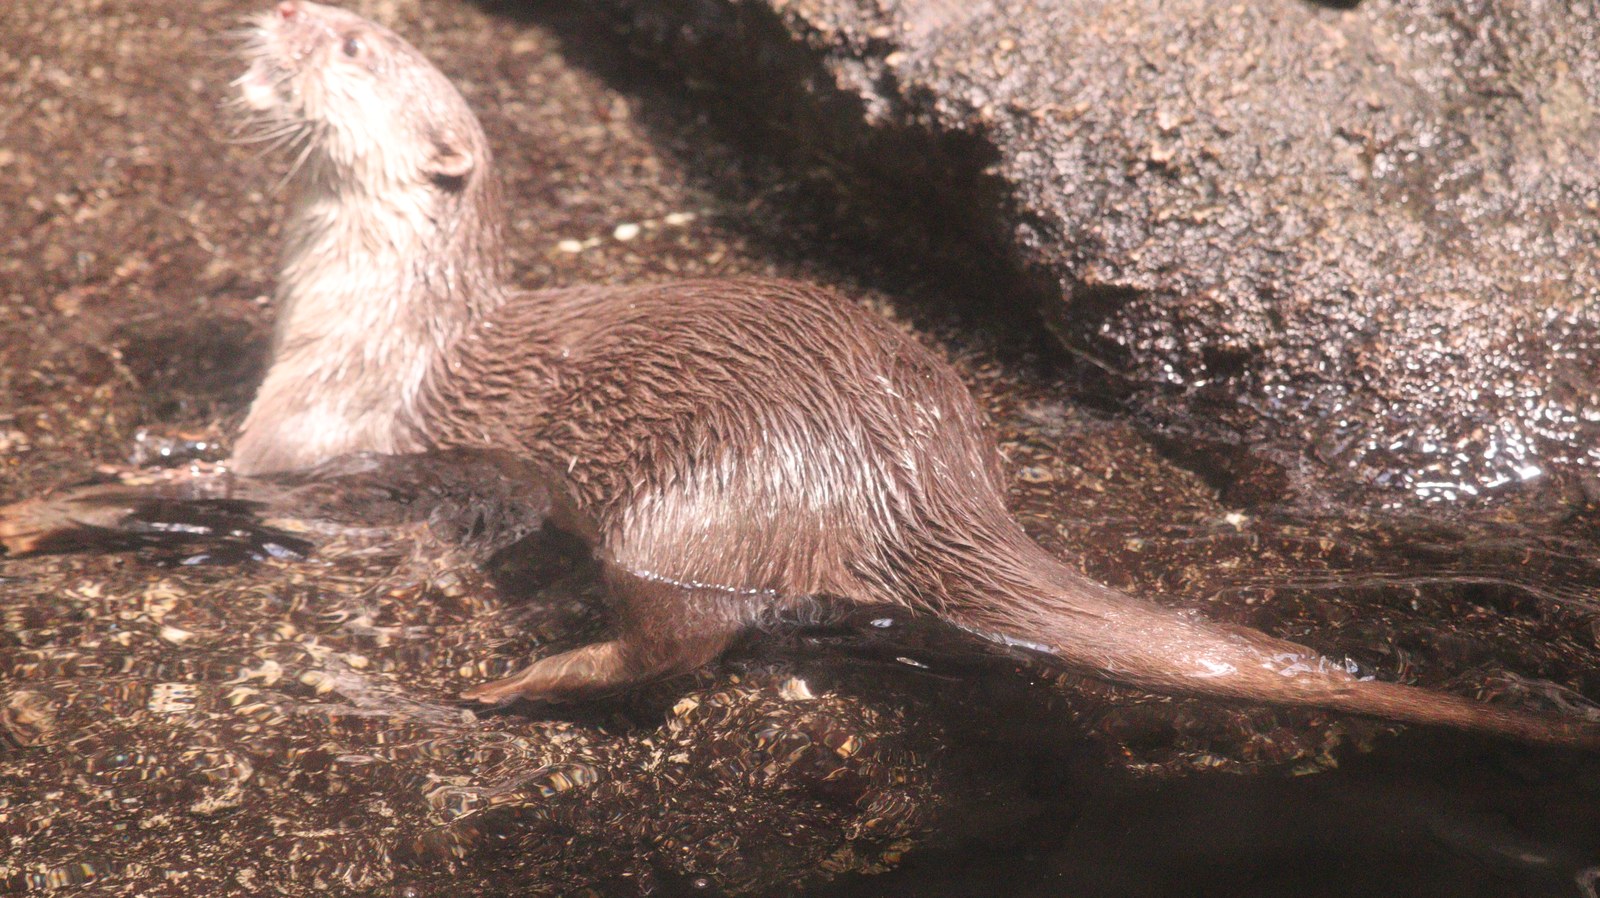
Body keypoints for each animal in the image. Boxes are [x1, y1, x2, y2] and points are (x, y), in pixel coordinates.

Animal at [224, 1, 1598, 747]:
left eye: (354, 44)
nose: (285, 11)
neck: (383, 306)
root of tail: (915, 471)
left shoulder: (310, 428)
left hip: (692, 504)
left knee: (681, 637)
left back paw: (518, 682)